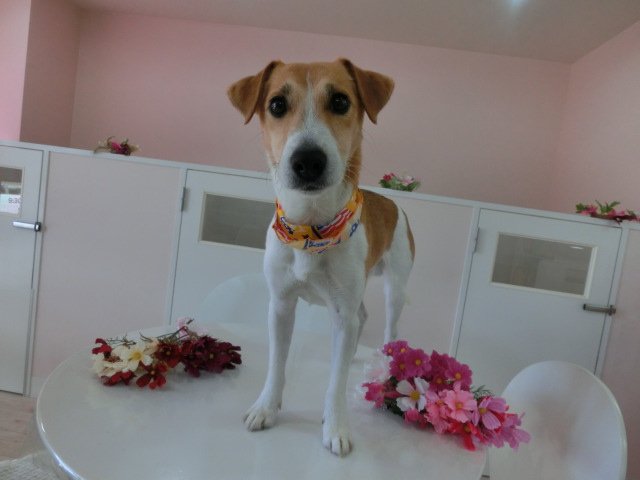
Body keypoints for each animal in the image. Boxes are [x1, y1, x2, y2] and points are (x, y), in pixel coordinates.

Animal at [227, 59, 414, 456]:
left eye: (341, 101)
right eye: (277, 104)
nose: (308, 161)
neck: (311, 230)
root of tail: (390, 200)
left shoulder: (341, 312)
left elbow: (336, 382)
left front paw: (336, 426)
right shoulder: (281, 305)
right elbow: (276, 365)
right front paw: (266, 407)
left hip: (395, 287)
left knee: (389, 327)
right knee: (363, 315)